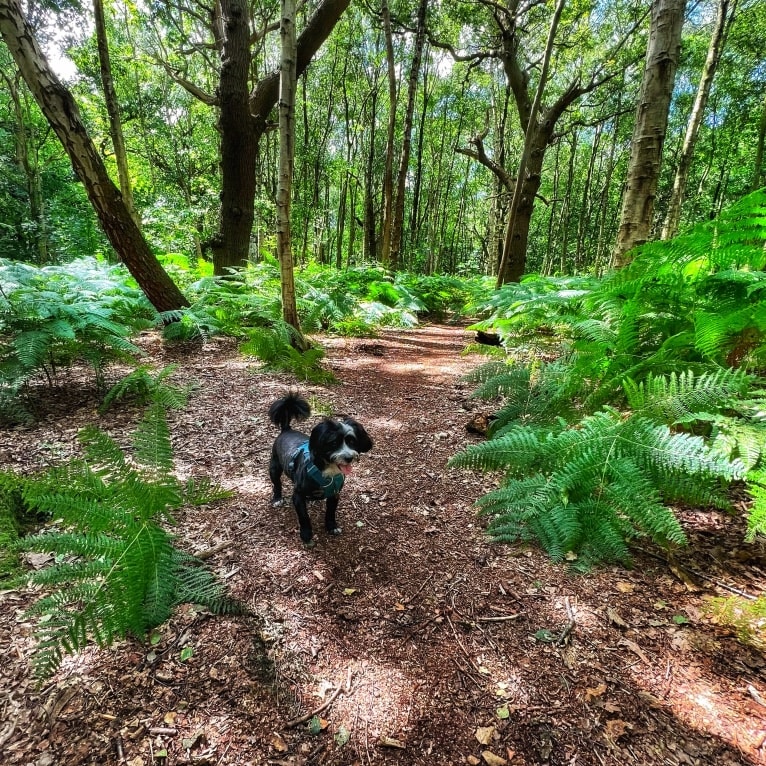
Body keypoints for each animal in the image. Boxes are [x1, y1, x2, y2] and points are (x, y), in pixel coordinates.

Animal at [268, 396, 374, 544]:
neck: (328, 473)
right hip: (274, 467)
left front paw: (332, 527)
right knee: (277, 484)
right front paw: (306, 534)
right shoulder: (298, 495)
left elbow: (330, 512)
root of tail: (286, 429)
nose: (348, 458)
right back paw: (277, 498)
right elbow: (304, 516)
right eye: (333, 443)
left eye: (352, 442)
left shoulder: (334, 494)